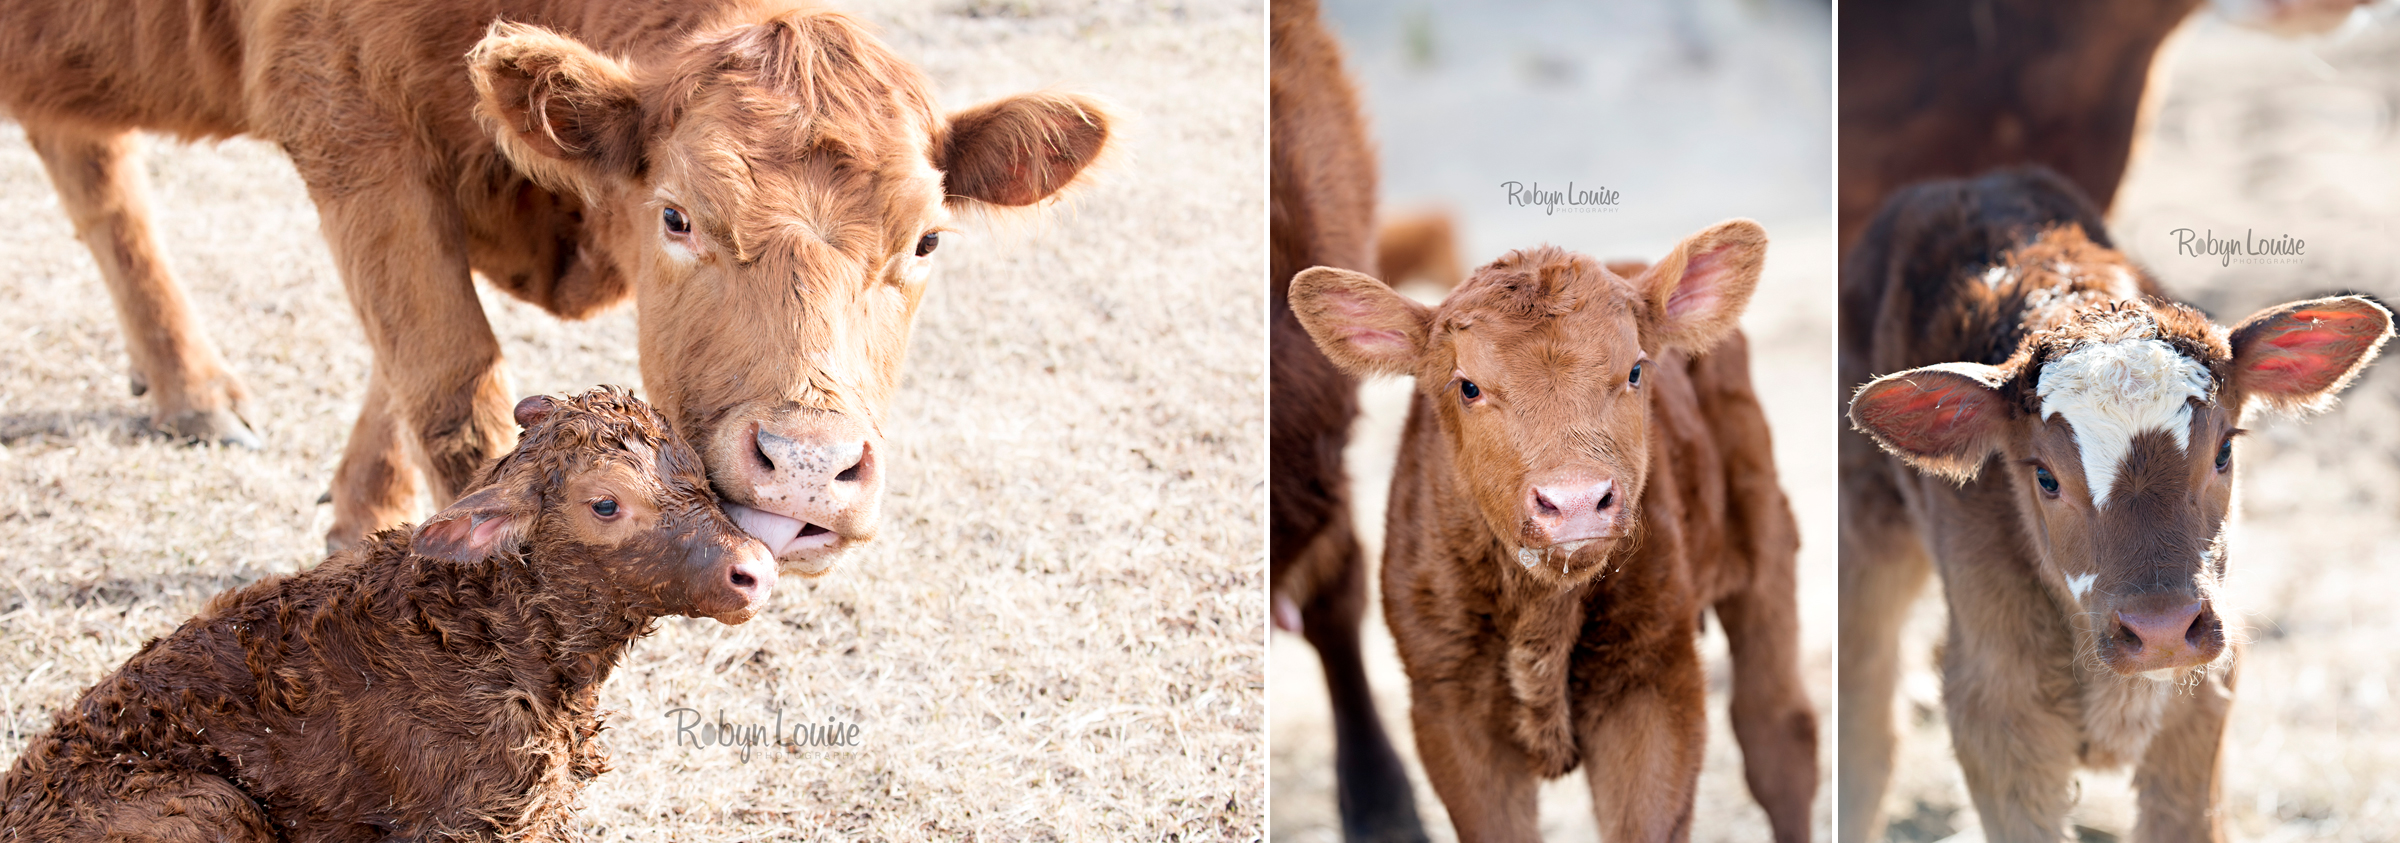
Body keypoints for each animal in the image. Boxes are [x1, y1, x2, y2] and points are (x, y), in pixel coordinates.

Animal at [0, 0, 1104, 574]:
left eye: (927, 241)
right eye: (677, 217)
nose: (804, 465)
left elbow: (399, 365)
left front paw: (362, 521)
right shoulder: (345, 121)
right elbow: (453, 384)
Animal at [0, 389, 772, 843]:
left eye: (696, 470)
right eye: (606, 503)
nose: (755, 568)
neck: (497, 637)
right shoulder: (467, 819)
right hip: (206, 807)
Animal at [1296, 223, 1814, 843]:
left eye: (1636, 370)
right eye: (1467, 387)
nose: (1575, 502)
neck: (1540, 612)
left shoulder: (1657, 681)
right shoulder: (1447, 705)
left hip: (1766, 541)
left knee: (1777, 736)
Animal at [1833, 166, 2380, 843]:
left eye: (2225, 450)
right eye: (2045, 477)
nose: (2162, 630)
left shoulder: (2202, 698)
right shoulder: (1998, 719)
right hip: (1867, 521)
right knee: (1865, 703)